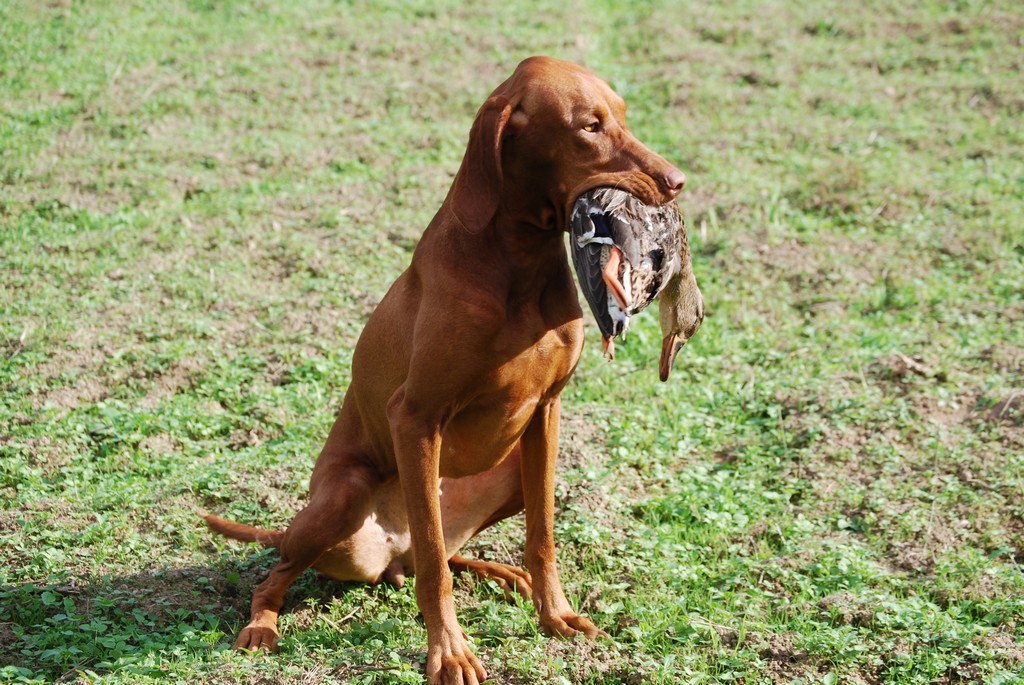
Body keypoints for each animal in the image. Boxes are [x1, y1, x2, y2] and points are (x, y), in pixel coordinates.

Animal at [208, 57, 704, 683]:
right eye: (589, 127)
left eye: (622, 115)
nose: (677, 180)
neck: (517, 263)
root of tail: (387, 552)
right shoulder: (414, 418)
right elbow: (433, 573)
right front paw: (449, 652)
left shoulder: (548, 411)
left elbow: (542, 536)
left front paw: (556, 615)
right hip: (342, 499)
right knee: (299, 570)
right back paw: (261, 626)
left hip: (508, 474)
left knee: (440, 549)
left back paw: (502, 574)